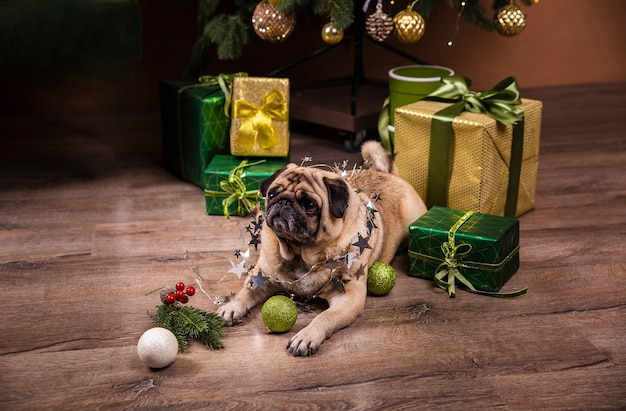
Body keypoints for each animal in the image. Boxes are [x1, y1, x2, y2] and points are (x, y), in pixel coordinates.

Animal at [217, 140, 426, 356]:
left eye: (310, 205)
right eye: (272, 194)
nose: (283, 203)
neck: (299, 255)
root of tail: (390, 174)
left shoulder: (349, 298)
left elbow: (324, 317)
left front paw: (306, 336)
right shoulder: (261, 276)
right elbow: (246, 292)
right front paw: (232, 306)